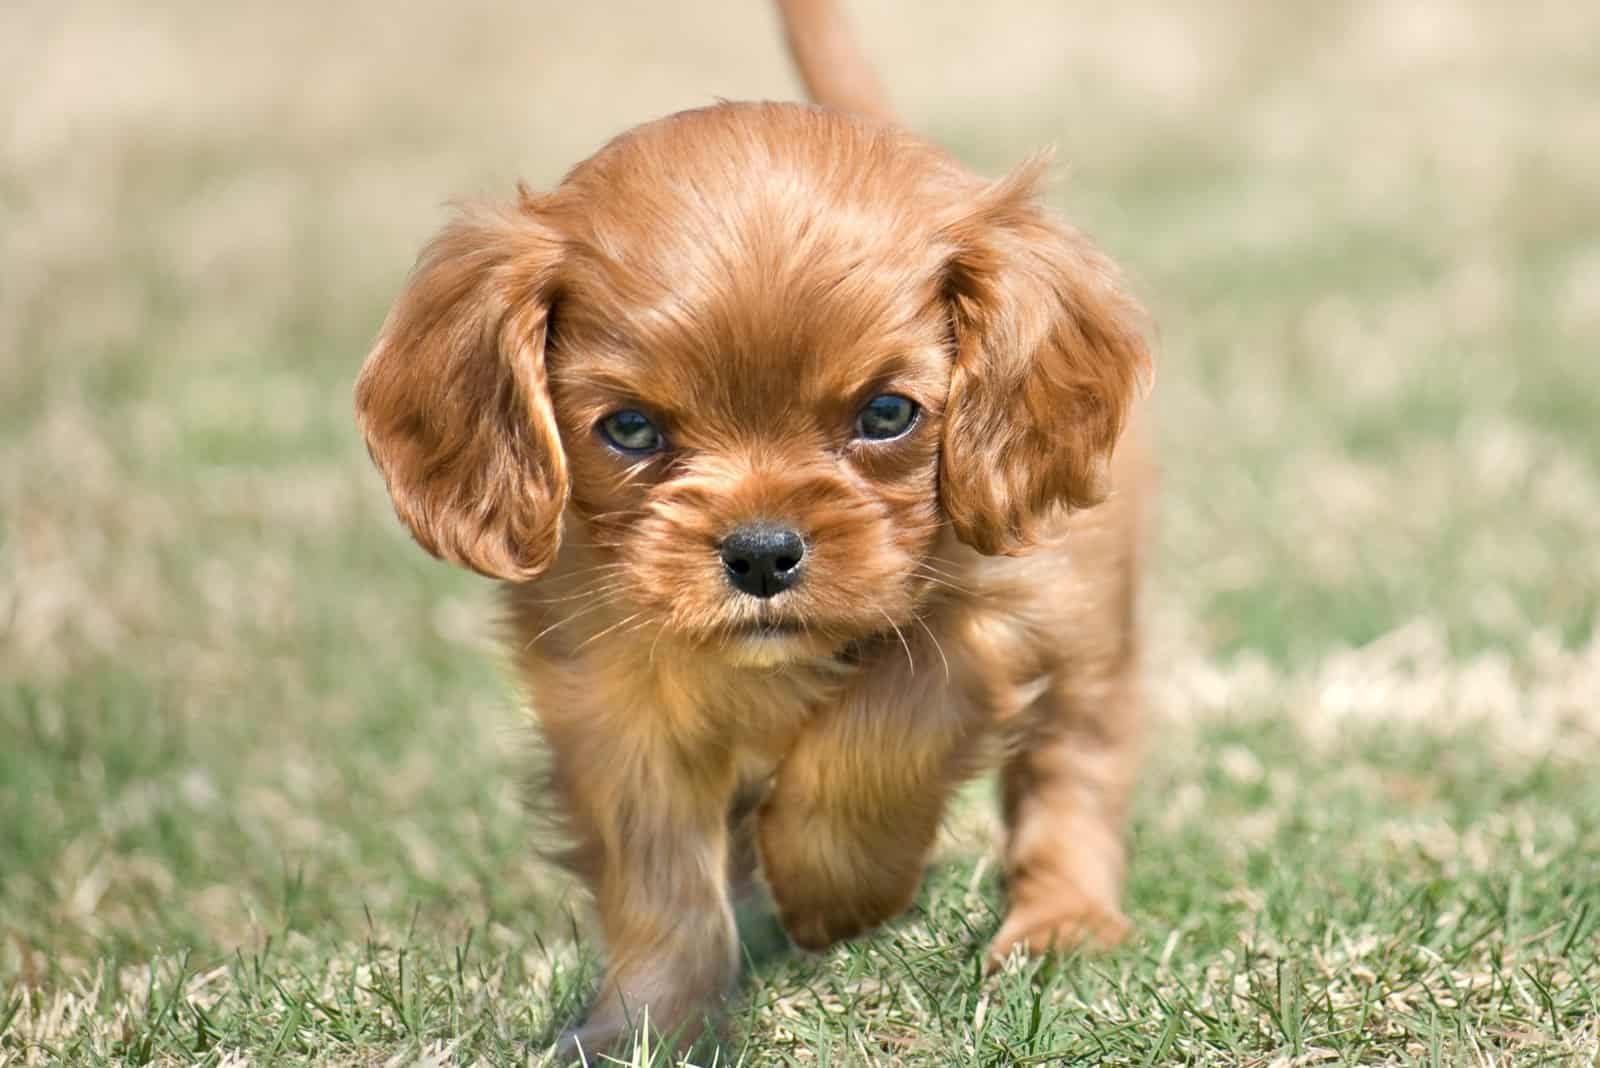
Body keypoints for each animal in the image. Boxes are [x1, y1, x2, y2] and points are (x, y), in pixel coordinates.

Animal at [353, 0, 1152, 1048]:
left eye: (887, 414)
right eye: (630, 429)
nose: (763, 554)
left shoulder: (999, 616)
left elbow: (880, 731)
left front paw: (830, 893)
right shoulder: (612, 695)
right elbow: (660, 879)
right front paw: (644, 1025)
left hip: (1089, 634)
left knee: (1074, 774)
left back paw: (1062, 923)